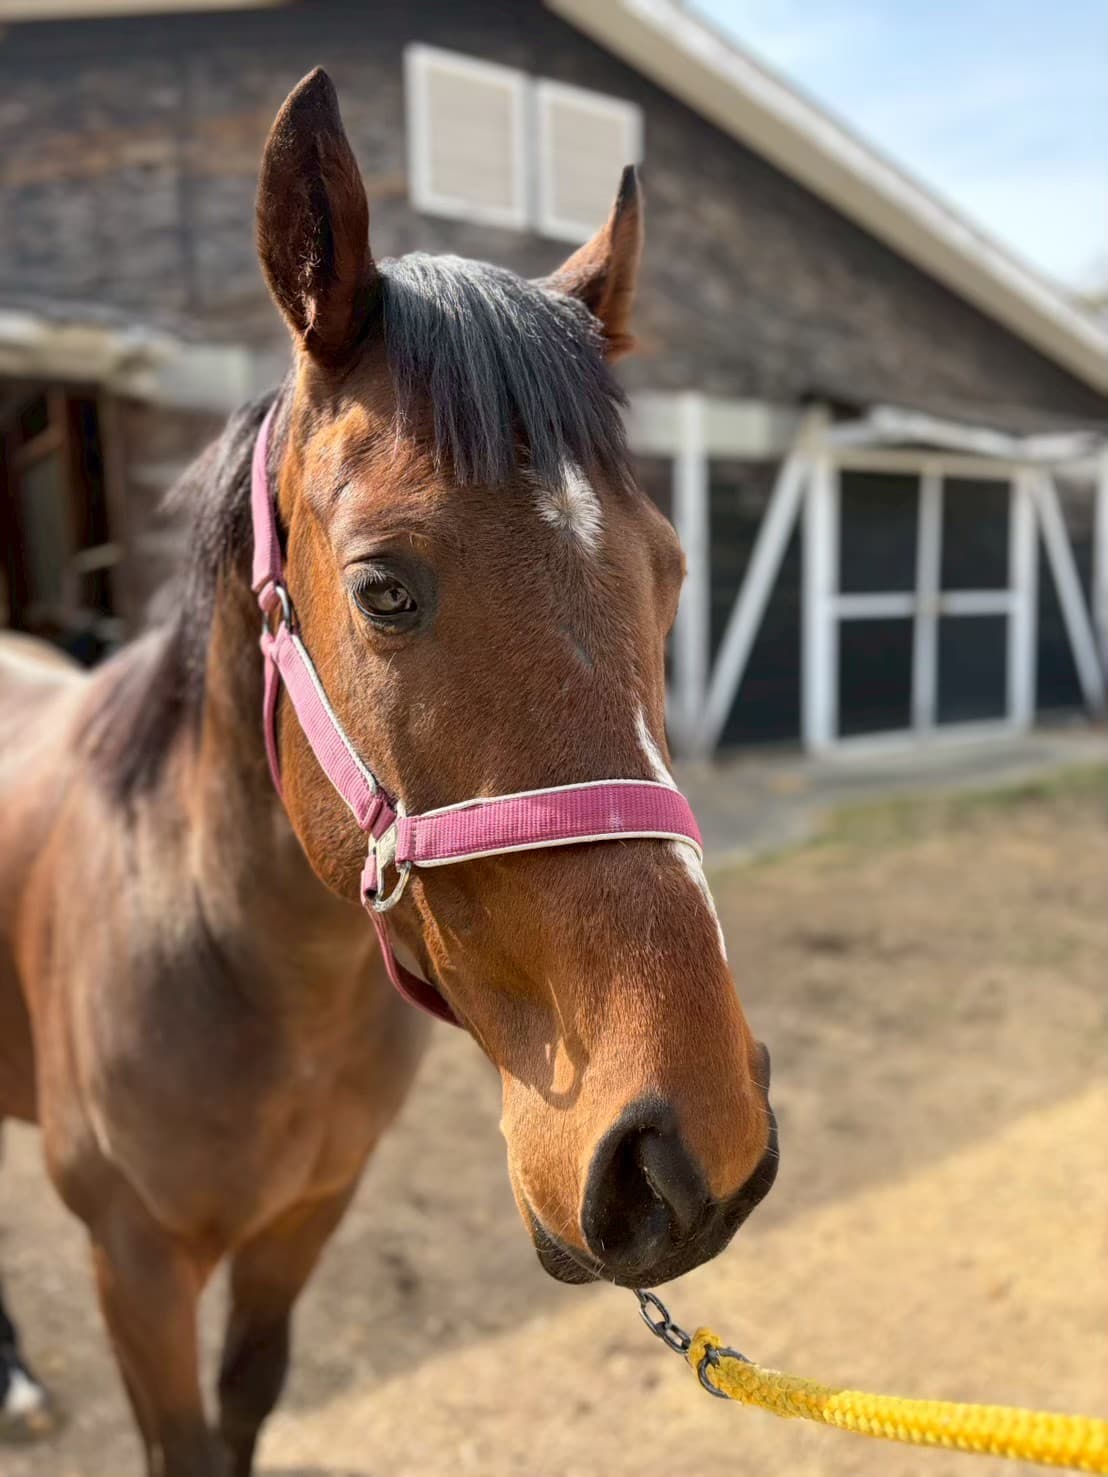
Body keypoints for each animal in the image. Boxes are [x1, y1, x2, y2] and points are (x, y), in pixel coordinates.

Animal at [0, 69, 777, 1477]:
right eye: (382, 587)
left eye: (674, 569)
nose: (695, 1145)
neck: (242, 963)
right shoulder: (133, 1267)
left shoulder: (301, 1223)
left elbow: (246, 1402)